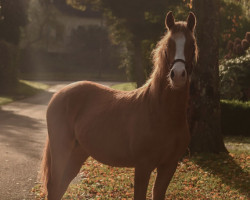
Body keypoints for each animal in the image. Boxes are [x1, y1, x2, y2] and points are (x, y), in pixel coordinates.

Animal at [40, 11, 197, 200]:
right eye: (169, 44)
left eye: (192, 45)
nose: (178, 75)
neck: (161, 113)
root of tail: (58, 95)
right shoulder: (143, 166)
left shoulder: (169, 166)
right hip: (61, 152)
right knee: (54, 186)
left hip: (77, 154)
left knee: (60, 187)